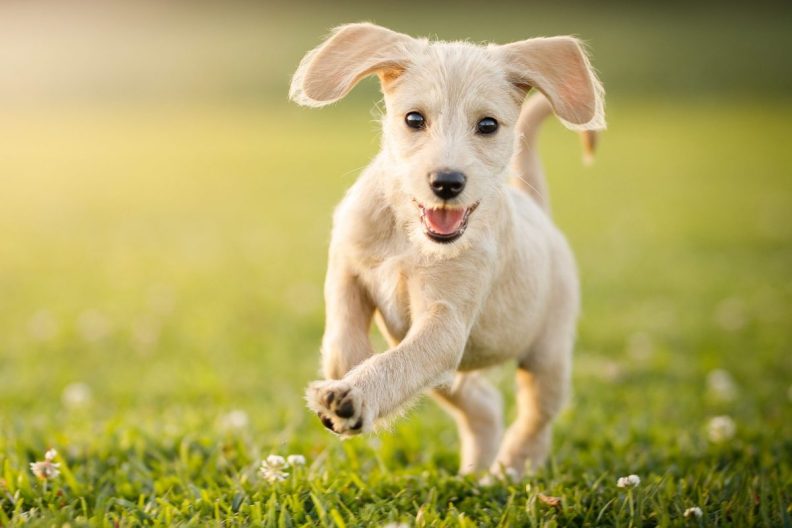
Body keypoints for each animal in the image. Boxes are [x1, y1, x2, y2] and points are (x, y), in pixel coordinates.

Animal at [290, 21, 608, 478]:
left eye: (488, 125)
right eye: (414, 118)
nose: (446, 182)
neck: (408, 235)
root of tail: (538, 210)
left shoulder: (445, 322)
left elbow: (397, 362)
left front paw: (354, 394)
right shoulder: (347, 268)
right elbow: (340, 339)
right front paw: (348, 374)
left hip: (547, 356)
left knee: (535, 419)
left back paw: (509, 470)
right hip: (454, 376)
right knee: (484, 405)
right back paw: (477, 474)